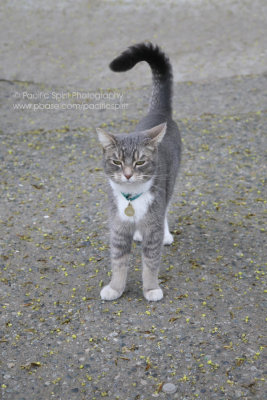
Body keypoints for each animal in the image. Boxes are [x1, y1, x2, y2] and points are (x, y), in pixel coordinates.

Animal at [96, 42, 182, 302]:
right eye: (116, 161)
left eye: (140, 162)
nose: (127, 174)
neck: (132, 199)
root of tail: (159, 113)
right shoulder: (118, 227)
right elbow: (118, 261)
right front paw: (115, 288)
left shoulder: (153, 226)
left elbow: (151, 262)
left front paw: (151, 288)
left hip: (170, 182)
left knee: (166, 207)